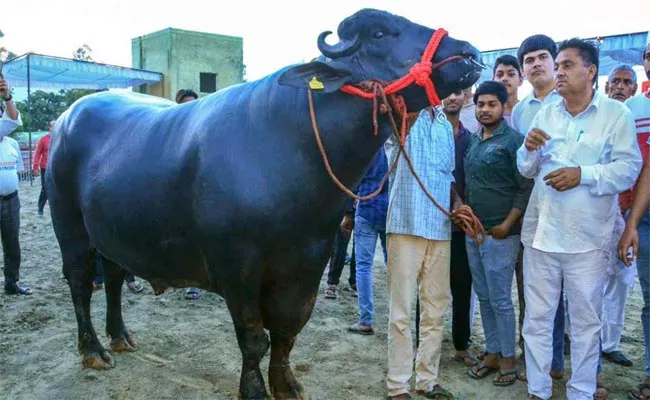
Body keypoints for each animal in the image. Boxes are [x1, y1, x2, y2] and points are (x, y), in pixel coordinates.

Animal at [46, 7, 480, 400]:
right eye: (379, 33)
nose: (470, 53)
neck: (297, 149)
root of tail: (66, 118)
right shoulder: (236, 266)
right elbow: (254, 337)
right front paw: (254, 389)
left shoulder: (309, 262)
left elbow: (287, 331)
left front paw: (286, 385)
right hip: (70, 227)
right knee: (81, 282)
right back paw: (93, 350)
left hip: (111, 233)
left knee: (114, 277)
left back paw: (120, 337)